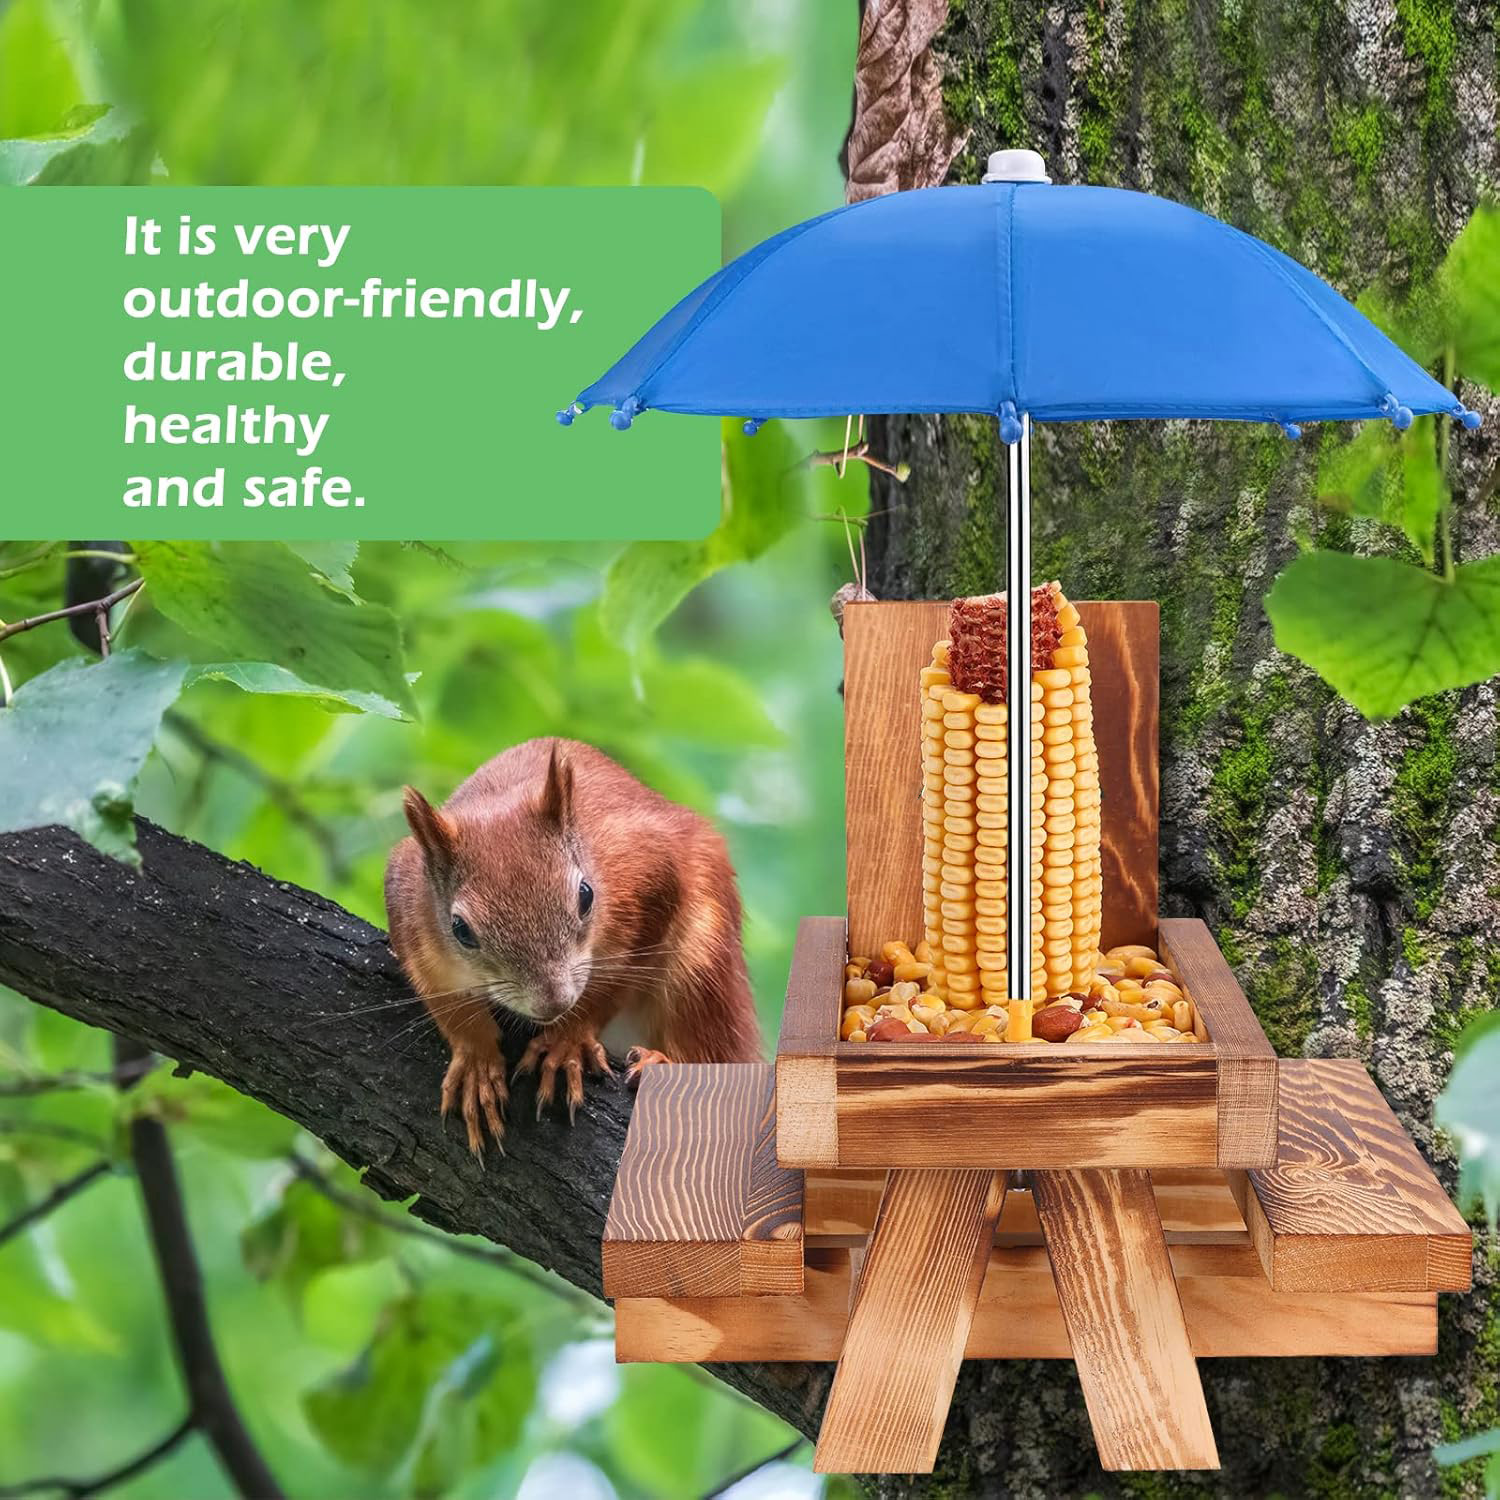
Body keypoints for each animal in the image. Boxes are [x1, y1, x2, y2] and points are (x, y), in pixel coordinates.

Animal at [384, 737, 763, 1155]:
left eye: (585, 895)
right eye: (461, 930)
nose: (554, 1003)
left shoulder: (650, 871)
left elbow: (615, 981)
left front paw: (568, 1039)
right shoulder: (410, 907)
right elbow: (447, 1004)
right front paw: (476, 1060)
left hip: (702, 967)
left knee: (708, 1047)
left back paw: (664, 1062)